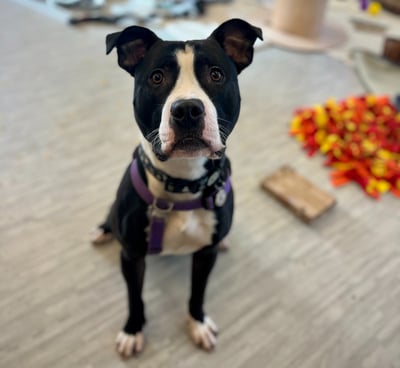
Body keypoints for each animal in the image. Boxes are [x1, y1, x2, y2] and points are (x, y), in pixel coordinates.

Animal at [93, 18, 262, 358]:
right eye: (157, 77)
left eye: (216, 75)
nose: (187, 109)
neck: (183, 181)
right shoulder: (132, 256)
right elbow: (135, 297)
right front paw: (133, 330)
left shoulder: (205, 255)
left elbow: (198, 292)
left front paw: (198, 323)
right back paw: (104, 230)